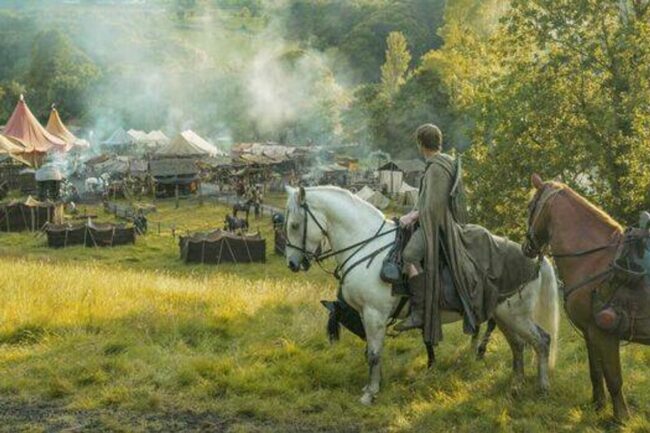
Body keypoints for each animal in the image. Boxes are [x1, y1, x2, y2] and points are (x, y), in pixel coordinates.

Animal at [284, 186, 560, 405]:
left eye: (295, 225)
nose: (292, 263)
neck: (367, 244)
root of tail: (537, 260)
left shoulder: (374, 314)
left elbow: (373, 354)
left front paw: (370, 393)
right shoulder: (368, 315)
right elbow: (373, 352)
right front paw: (372, 386)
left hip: (516, 316)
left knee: (542, 341)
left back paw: (543, 387)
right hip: (503, 316)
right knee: (518, 345)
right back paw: (516, 384)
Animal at [522, 174, 650, 421]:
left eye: (530, 206)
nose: (526, 247)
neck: (594, 261)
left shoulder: (604, 333)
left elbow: (614, 378)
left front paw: (621, 418)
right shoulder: (590, 333)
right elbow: (596, 372)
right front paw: (598, 406)